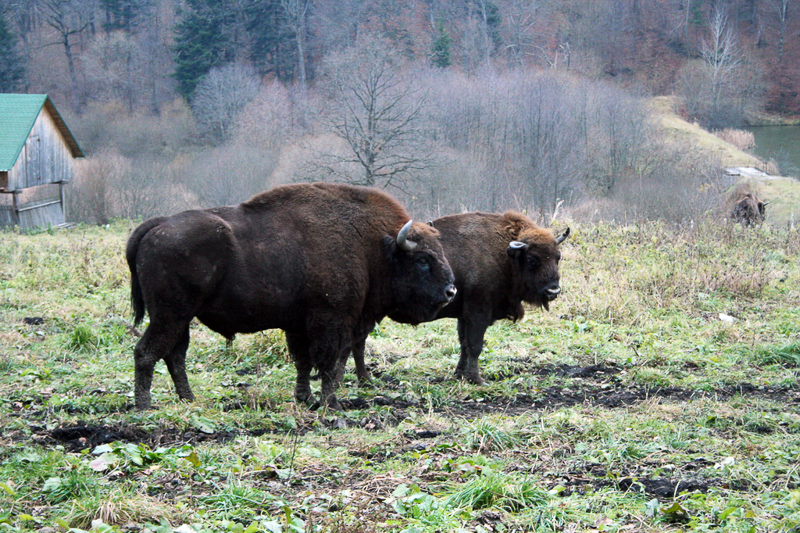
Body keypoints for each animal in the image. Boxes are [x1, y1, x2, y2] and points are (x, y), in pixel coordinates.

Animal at [126, 182, 456, 410]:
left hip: (180, 317)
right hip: (170, 314)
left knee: (174, 355)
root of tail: (158, 224)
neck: (375, 247)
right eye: (423, 259)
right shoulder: (331, 320)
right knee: (147, 352)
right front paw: (330, 403)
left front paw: (304, 398)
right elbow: (328, 363)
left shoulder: (298, 325)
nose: (451, 291)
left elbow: (303, 362)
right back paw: (145, 406)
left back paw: (189, 399)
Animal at [350, 210, 569, 385]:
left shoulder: (464, 316)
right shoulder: (478, 313)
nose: (553, 291)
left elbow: (464, 343)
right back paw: (366, 380)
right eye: (532, 259)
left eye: (558, 257)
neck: (503, 254)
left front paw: (460, 374)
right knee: (358, 343)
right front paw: (477, 379)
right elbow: (475, 345)